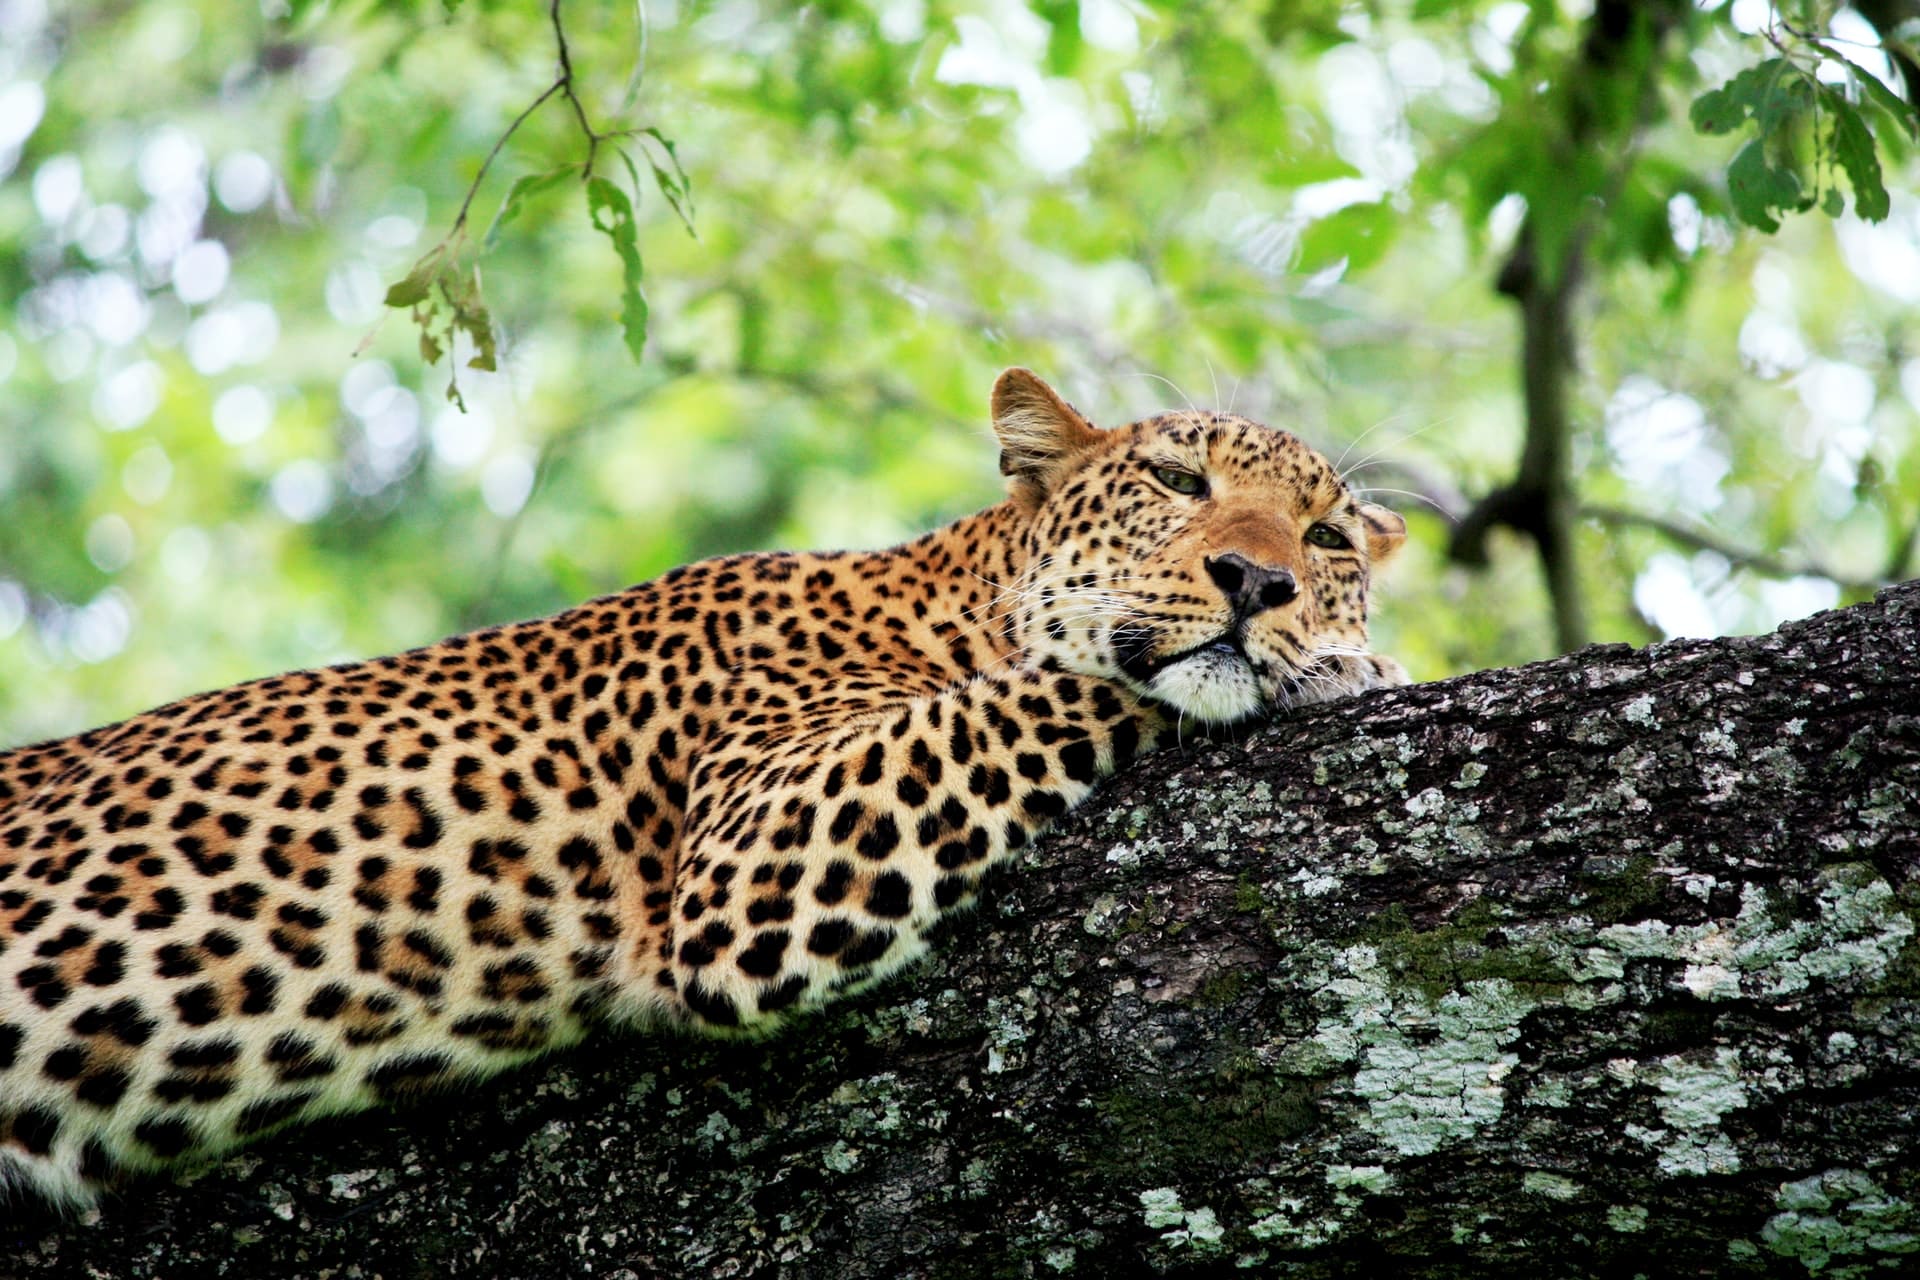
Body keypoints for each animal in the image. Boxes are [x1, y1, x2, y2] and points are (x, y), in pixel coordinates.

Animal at [0, 364, 1413, 1205]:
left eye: (1328, 536)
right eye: (1177, 480)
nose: (1264, 583)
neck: (944, 599)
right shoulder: (762, 851)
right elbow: (1071, 687)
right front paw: (1352, 666)